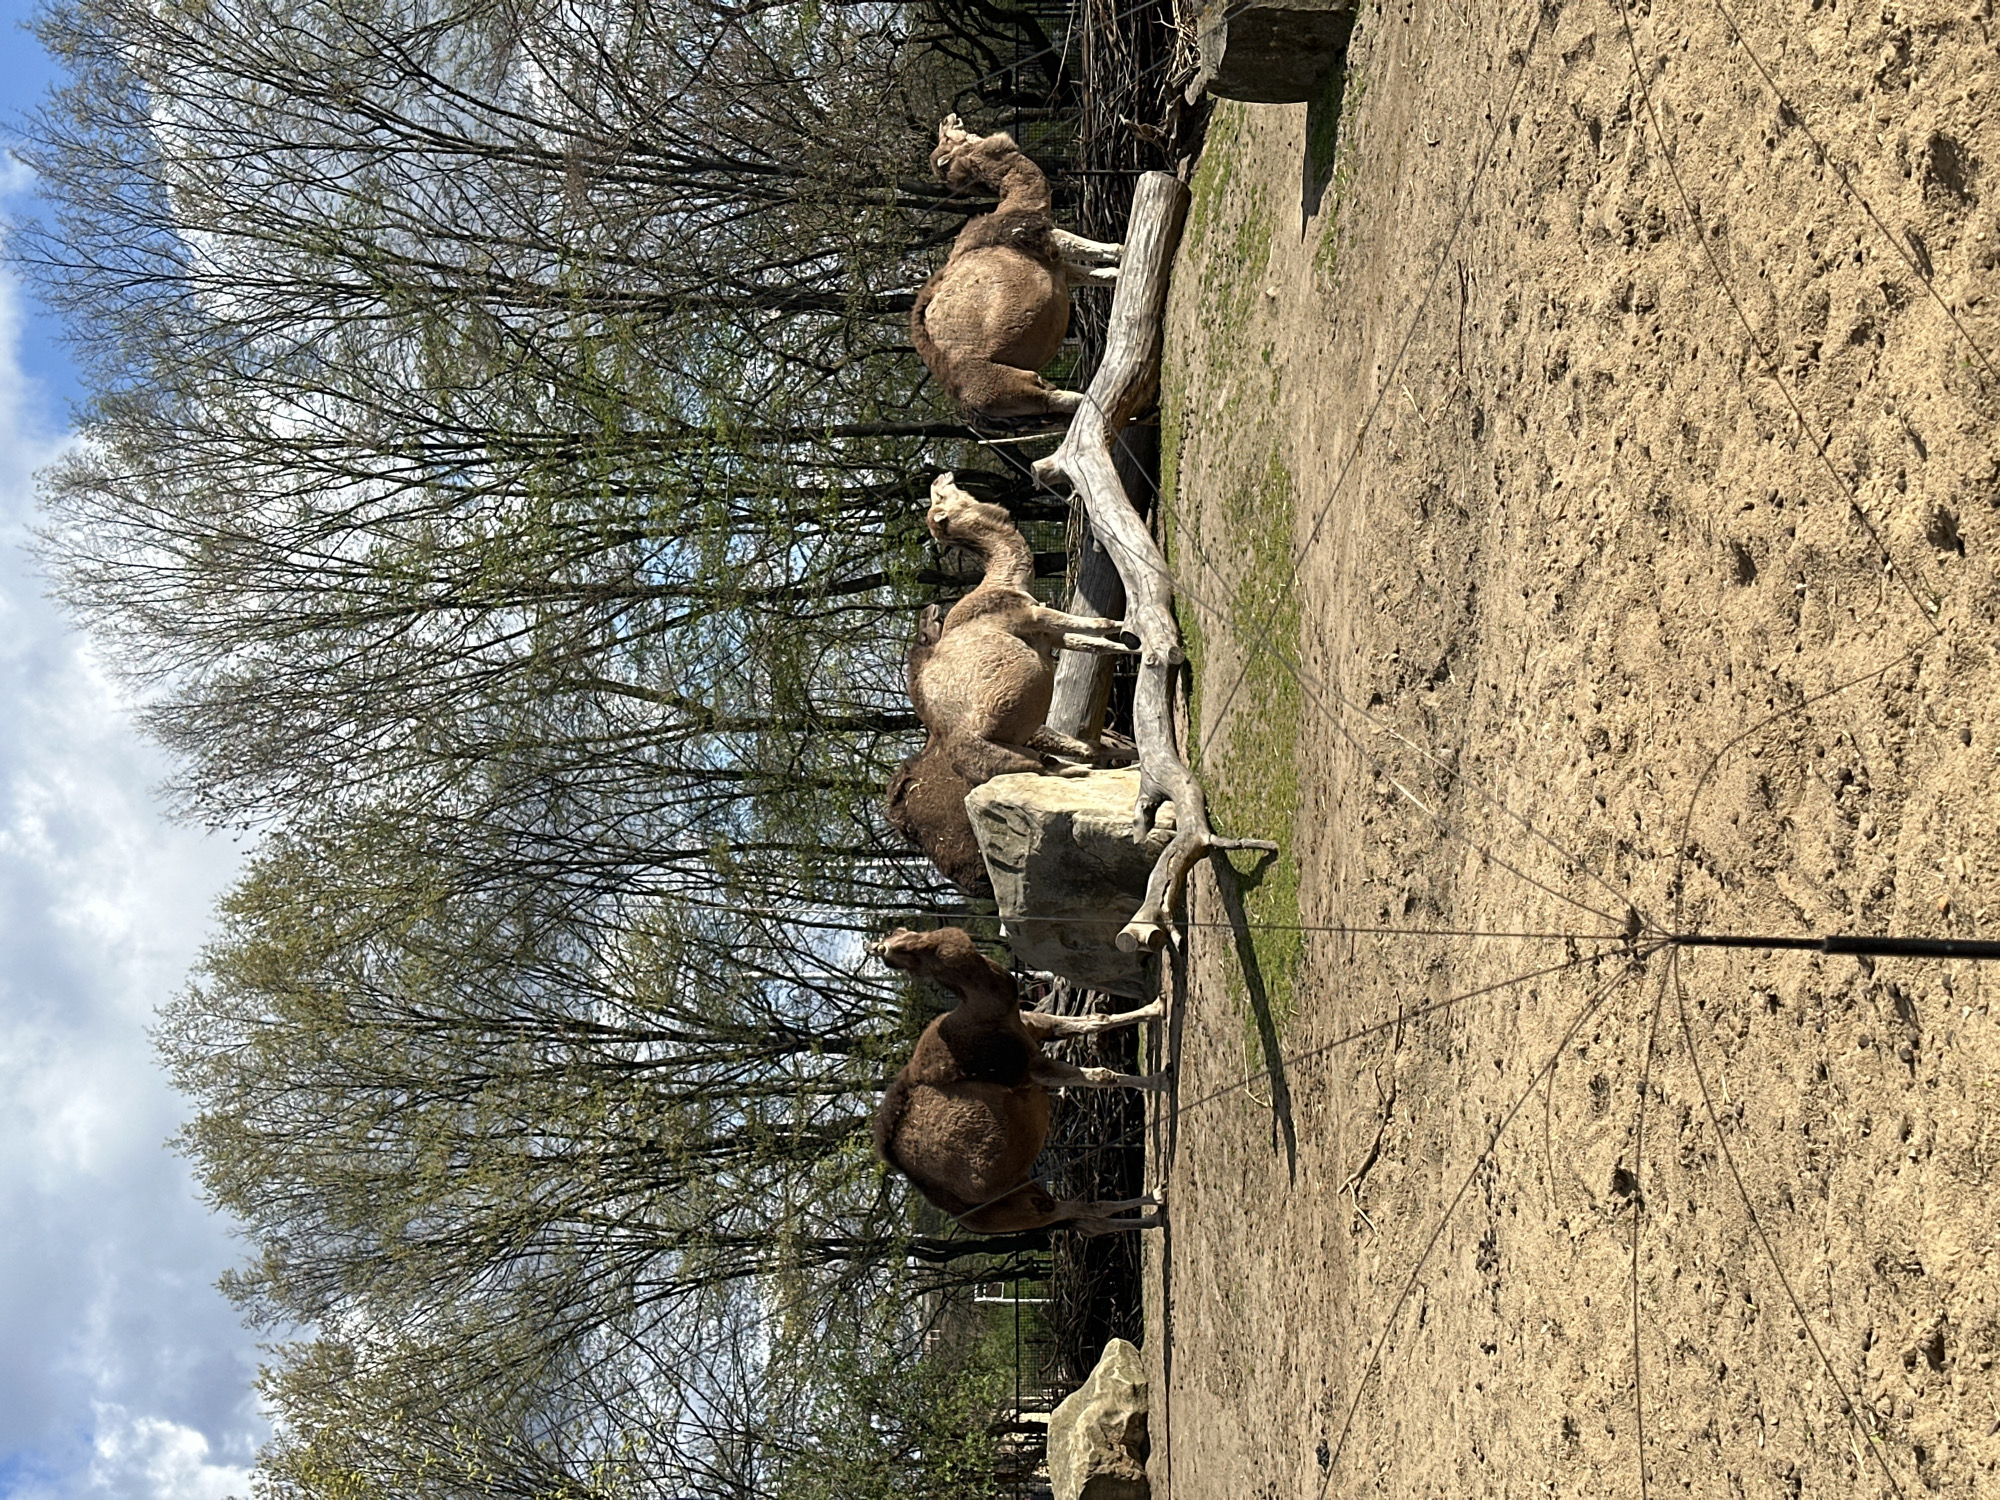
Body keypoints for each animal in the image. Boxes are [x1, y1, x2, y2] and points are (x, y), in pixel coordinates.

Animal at [867, 925, 1166, 1234]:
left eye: (898, 941)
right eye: (893, 951)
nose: (884, 948)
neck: (980, 1012)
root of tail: (961, 1217)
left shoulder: (1032, 1026)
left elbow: (1095, 1020)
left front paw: (1157, 1006)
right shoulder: (1029, 1068)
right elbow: (1101, 1076)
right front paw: (1160, 1080)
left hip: (1022, 1193)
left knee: (1084, 1222)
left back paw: (1154, 1212)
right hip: (1017, 1210)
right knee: (1082, 1213)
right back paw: (1156, 1198)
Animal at [884, 474, 1134, 891]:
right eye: (941, 498)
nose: (940, 477)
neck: (1002, 581)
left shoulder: (1048, 634)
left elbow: (1094, 642)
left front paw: (1136, 643)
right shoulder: (1033, 615)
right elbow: (1098, 625)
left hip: (1019, 749)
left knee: (1056, 761)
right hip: (1017, 719)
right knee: (1051, 765)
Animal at [911, 115, 1124, 422]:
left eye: (946, 138)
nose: (949, 118)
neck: (1014, 200)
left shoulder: (1056, 265)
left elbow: (1097, 273)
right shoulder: (1041, 235)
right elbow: (1091, 248)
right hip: (997, 384)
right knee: (1055, 397)